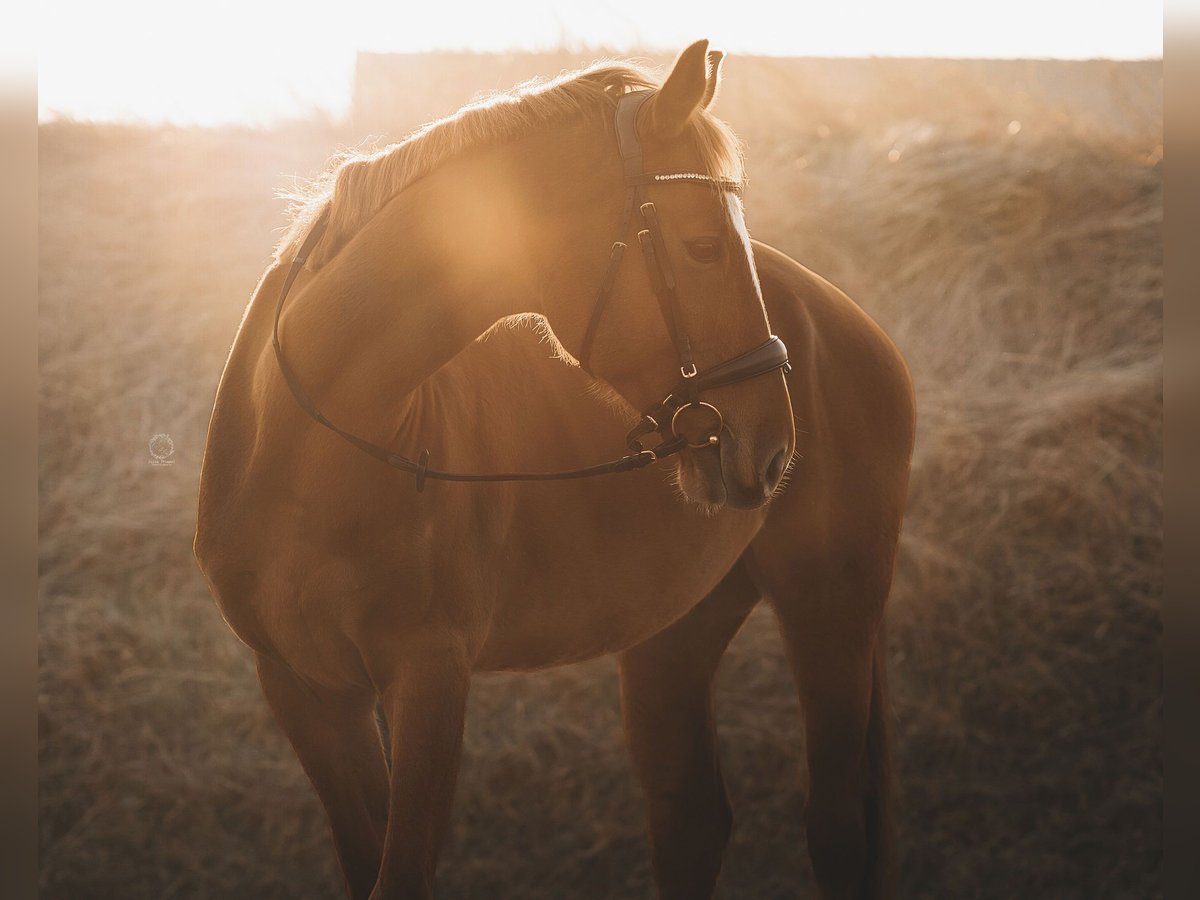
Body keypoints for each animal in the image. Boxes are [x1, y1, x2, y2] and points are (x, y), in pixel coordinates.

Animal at [196, 40, 912, 900]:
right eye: (703, 245)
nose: (771, 446)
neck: (312, 451)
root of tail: (849, 323)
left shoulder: (429, 678)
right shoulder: (309, 693)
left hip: (829, 602)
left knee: (834, 824)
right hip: (677, 628)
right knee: (692, 817)